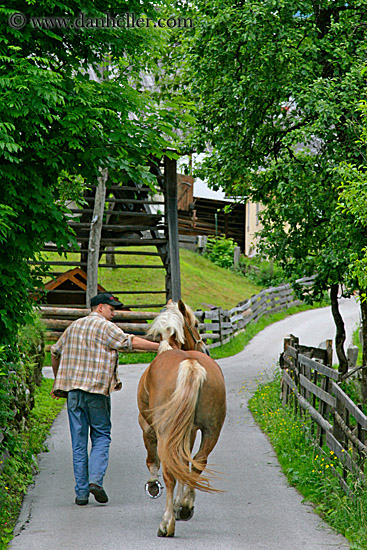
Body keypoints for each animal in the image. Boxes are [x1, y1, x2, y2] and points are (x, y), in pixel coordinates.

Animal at [137, 302, 226, 540]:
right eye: (195, 324)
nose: (206, 349)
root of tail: (191, 364)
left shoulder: (148, 428)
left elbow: (153, 461)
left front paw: (153, 486)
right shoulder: (190, 431)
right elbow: (185, 463)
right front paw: (180, 505)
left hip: (165, 431)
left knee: (169, 471)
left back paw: (166, 523)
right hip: (212, 430)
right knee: (198, 463)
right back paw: (185, 507)